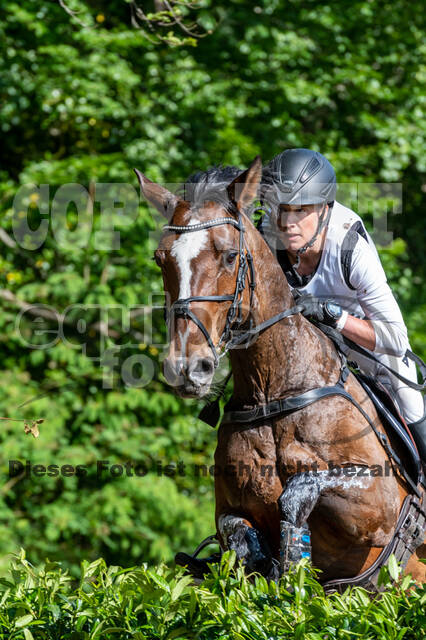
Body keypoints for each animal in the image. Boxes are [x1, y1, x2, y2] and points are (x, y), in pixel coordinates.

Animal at [135, 157, 426, 591]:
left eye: (228, 256)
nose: (186, 367)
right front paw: (270, 569)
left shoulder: (377, 507)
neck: (275, 390)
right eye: (161, 259)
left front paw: (291, 563)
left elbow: (298, 491)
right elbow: (238, 532)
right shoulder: (228, 510)